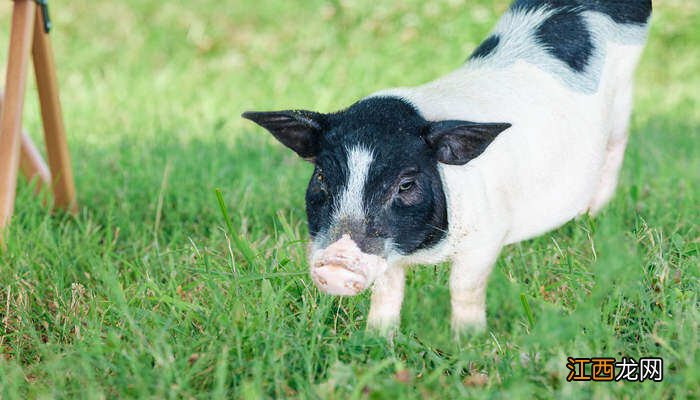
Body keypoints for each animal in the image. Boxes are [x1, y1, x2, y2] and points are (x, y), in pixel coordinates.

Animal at [243, 0, 652, 334]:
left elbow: (464, 287)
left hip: (623, 102)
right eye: (322, 177)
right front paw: (377, 338)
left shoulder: (486, 235)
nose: (337, 264)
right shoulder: (390, 254)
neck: (424, 251)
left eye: (406, 183)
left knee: (616, 148)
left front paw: (468, 341)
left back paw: (592, 217)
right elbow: (388, 290)